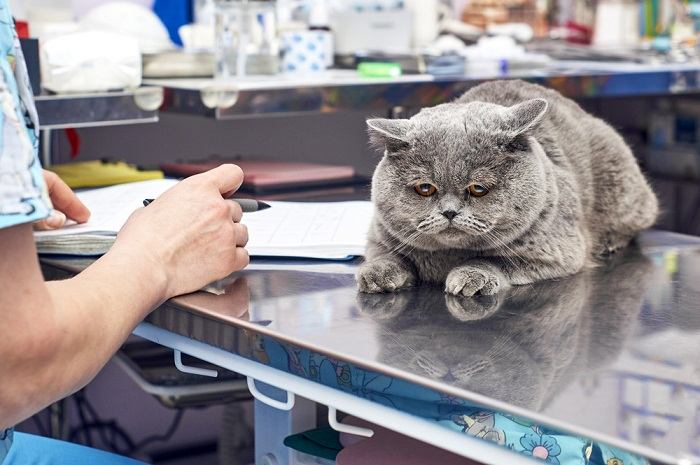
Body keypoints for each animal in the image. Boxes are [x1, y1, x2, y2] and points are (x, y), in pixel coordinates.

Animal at [358, 79, 660, 294]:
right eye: (425, 188)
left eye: (478, 189)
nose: (449, 212)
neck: (448, 257)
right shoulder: (378, 236)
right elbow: (384, 256)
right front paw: (376, 274)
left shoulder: (560, 251)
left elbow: (498, 260)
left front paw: (471, 275)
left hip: (623, 190)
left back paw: (610, 243)